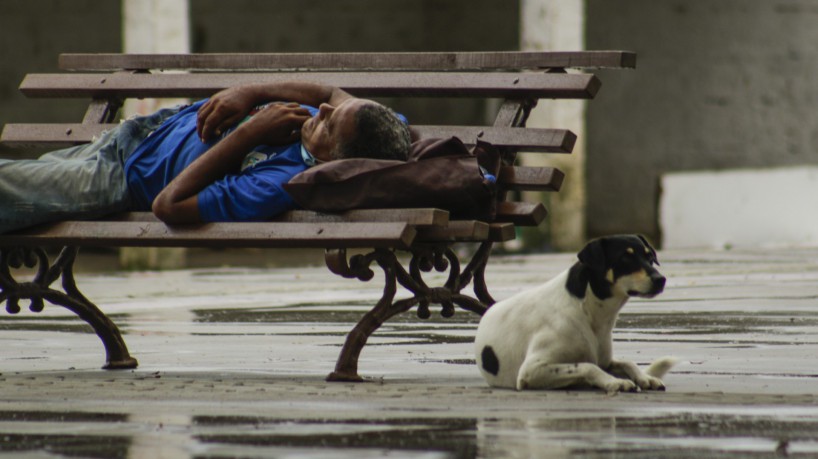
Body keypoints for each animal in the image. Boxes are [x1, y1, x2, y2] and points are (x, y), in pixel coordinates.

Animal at [472, 235, 676, 394]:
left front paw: (645, 377)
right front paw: (613, 382)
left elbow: (628, 363)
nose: (661, 280)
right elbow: (588, 366)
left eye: (650, 258)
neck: (586, 309)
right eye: (625, 258)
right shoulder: (532, 370)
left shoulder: (606, 361)